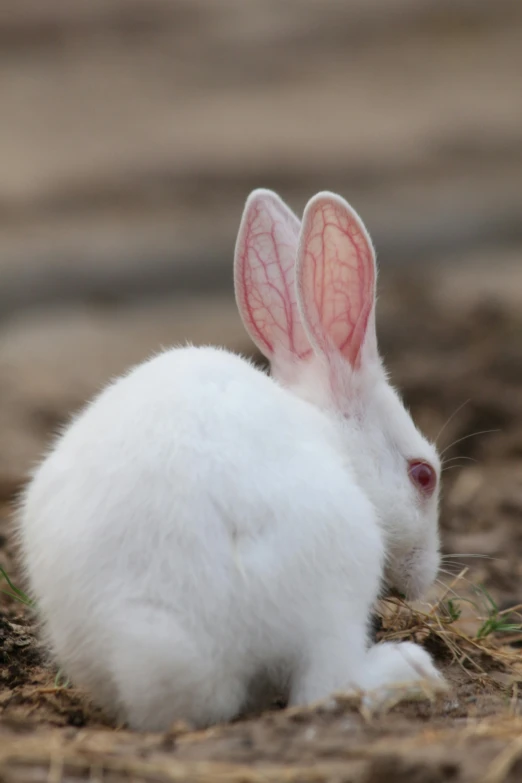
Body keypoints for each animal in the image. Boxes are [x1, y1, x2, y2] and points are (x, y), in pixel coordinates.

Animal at [17, 191, 442, 736]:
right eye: (423, 475)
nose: (424, 577)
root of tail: (164, 656)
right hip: (340, 578)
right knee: (325, 683)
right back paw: (411, 667)